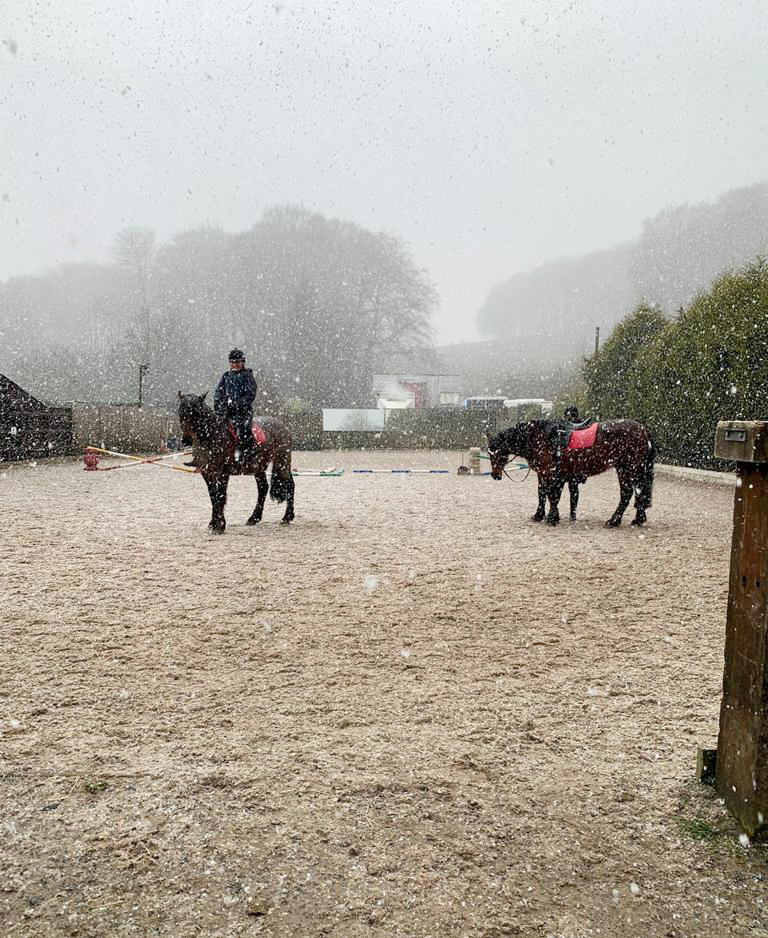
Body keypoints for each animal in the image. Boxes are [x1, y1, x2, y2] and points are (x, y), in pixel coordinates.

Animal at [177, 390, 294, 532]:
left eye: (197, 412)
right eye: (180, 411)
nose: (186, 440)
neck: (211, 436)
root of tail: (282, 425)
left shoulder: (222, 472)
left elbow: (220, 496)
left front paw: (220, 526)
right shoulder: (207, 473)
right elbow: (213, 496)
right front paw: (213, 523)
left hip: (282, 462)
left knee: (290, 485)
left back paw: (287, 517)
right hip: (259, 467)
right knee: (263, 488)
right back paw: (254, 518)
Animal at [492, 418, 656, 528]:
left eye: (494, 452)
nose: (495, 475)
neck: (538, 437)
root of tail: (643, 429)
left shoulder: (549, 473)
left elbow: (551, 495)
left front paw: (552, 517)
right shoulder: (545, 474)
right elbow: (543, 494)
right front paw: (540, 515)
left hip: (631, 468)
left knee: (629, 493)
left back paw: (616, 520)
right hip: (625, 468)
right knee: (635, 493)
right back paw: (636, 519)